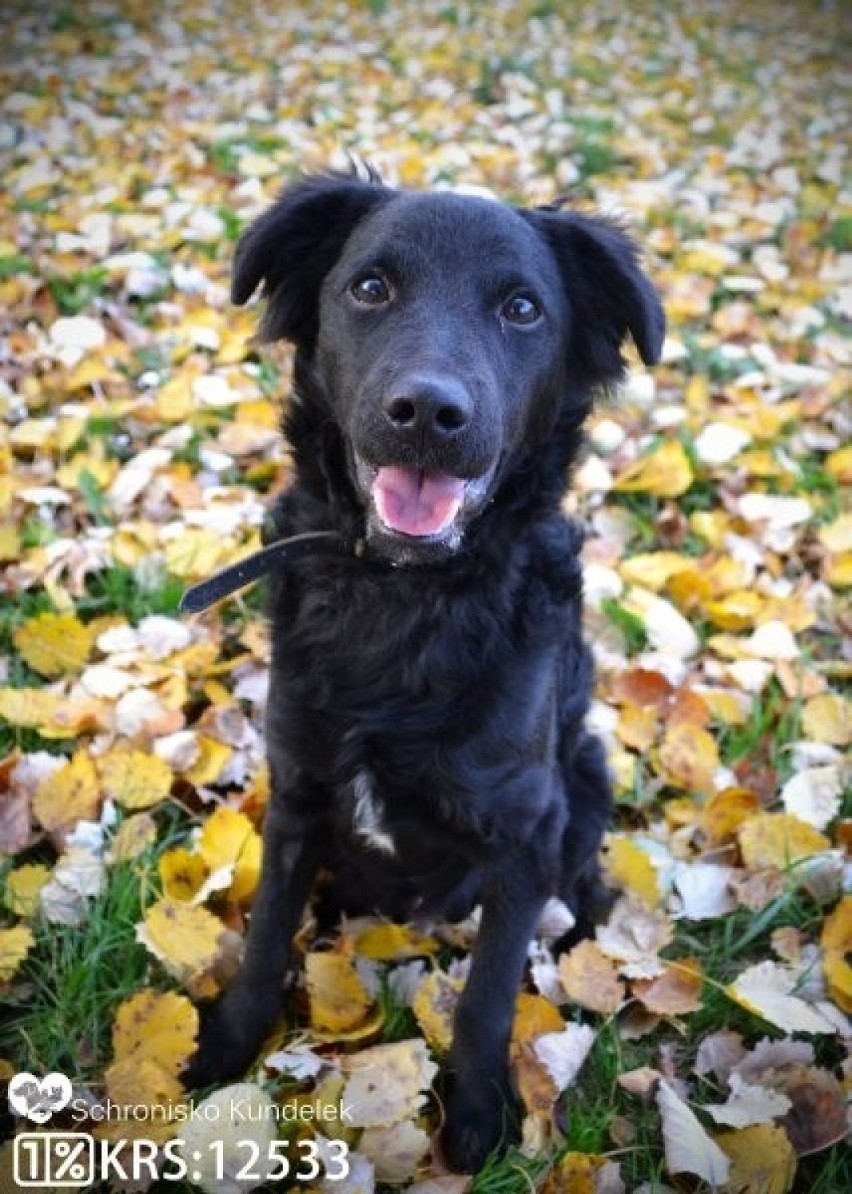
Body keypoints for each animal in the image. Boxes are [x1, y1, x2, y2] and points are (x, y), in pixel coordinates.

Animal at [187, 173, 663, 1170]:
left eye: (522, 309)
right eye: (371, 288)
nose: (429, 415)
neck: (405, 598)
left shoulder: (525, 830)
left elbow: (488, 991)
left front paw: (478, 1111)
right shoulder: (297, 791)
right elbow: (263, 935)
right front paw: (228, 1044)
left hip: (587, 766)